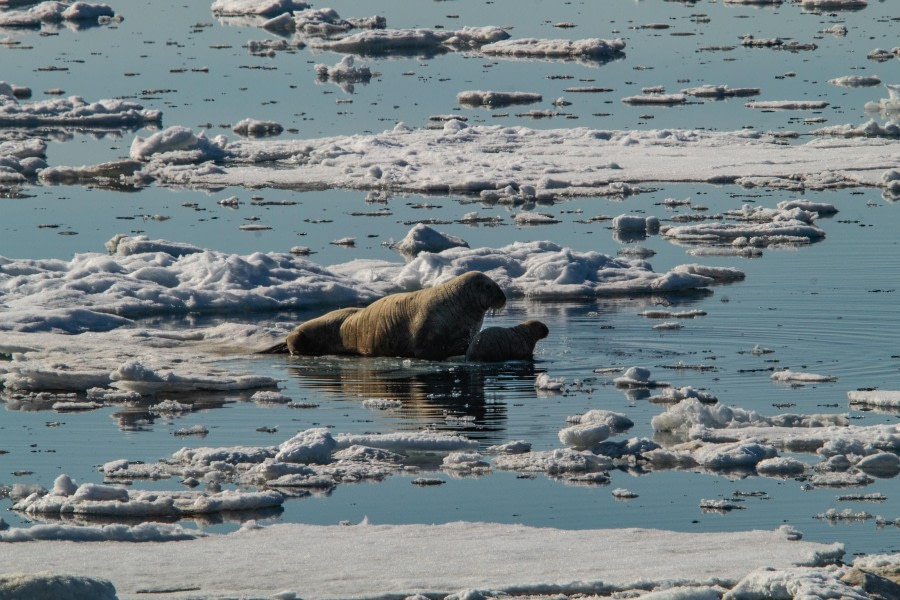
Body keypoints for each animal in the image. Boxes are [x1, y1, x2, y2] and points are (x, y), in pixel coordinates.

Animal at [266, 272, 506, 360]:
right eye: (489, 286)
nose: (503, 297)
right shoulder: (427, 329)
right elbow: (425, 347)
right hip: (309, 330)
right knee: (295, 339)